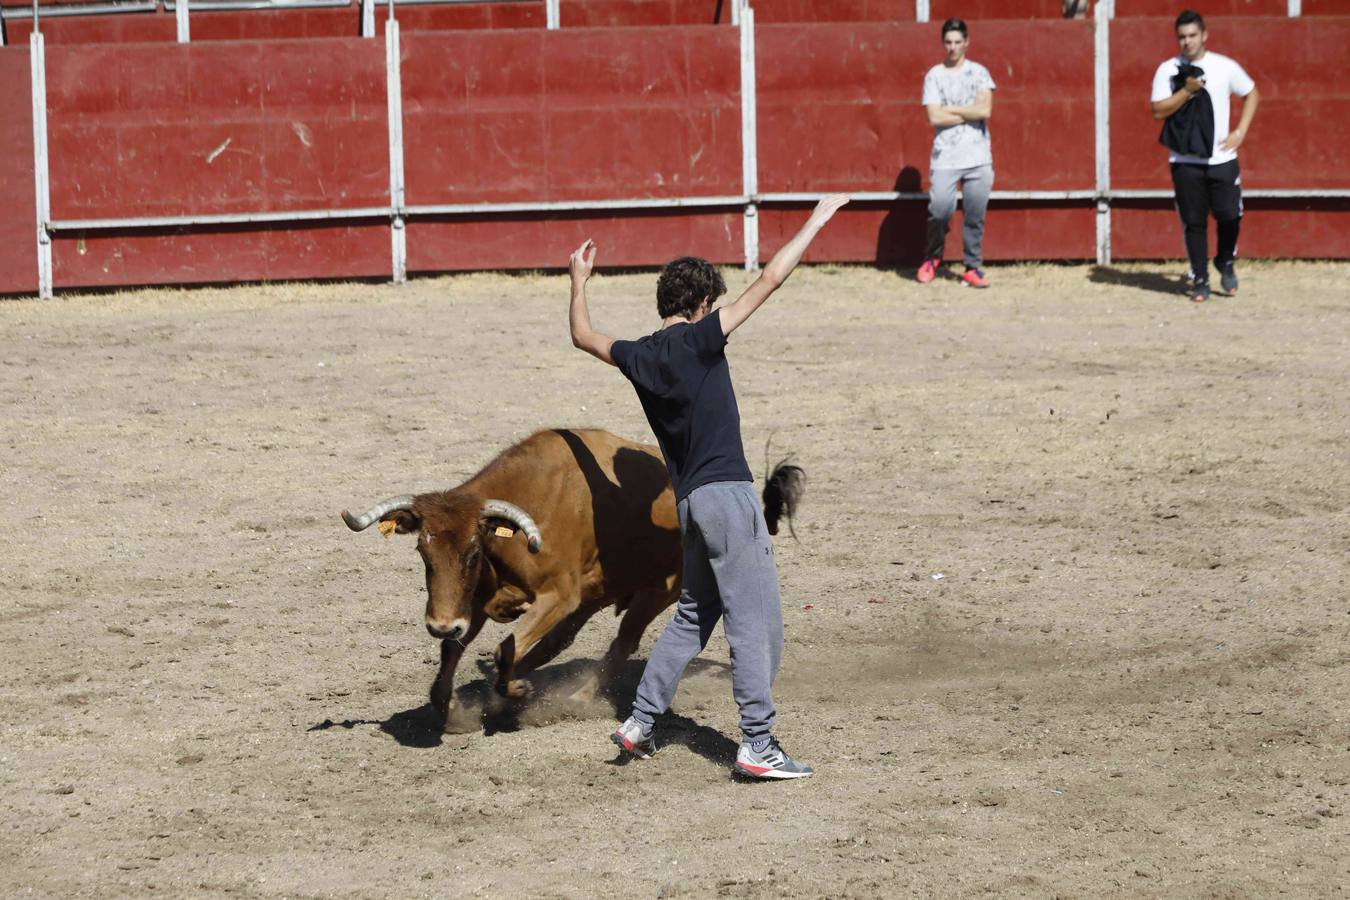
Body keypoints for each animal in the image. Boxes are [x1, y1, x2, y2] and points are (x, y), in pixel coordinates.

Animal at [340, 429, 675, 734]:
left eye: (474, 553)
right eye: (423, 552)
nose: (440, 626)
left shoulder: (559, 595)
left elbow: (503, 650)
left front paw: (515, 689)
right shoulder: (473, 599)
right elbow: (453, 647)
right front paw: (449, 706)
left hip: (656, 593)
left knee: (623, 642)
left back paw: (575, 697)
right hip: (594, 599)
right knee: (556, 642)